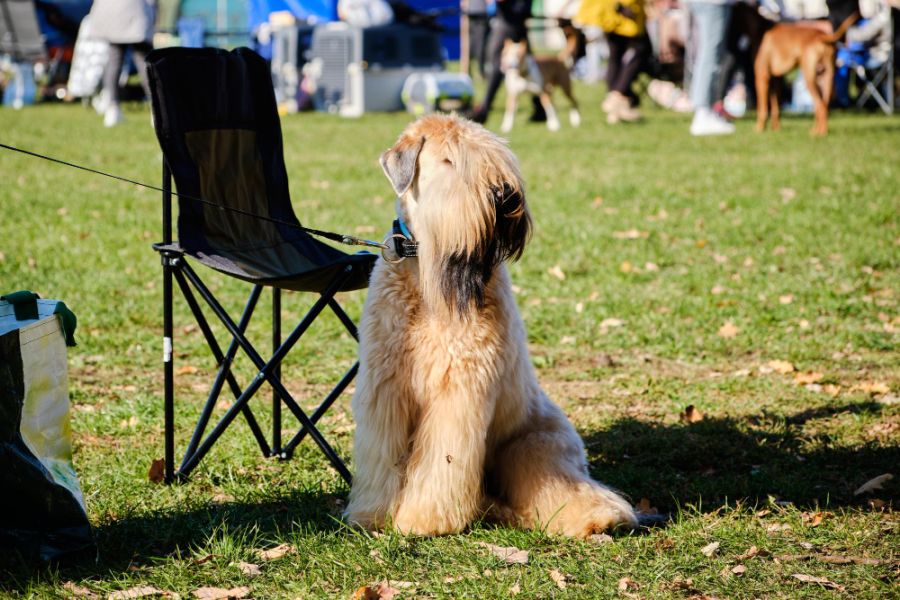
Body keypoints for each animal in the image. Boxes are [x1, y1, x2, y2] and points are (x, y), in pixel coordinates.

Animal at [342, 115, 636, 536]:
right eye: (449, 159)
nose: (505, 195)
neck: (427, 277)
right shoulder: (386, 387)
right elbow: (382, 458)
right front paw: (373, 516)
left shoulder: (458, 393)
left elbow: (441, 465)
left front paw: (422, 521)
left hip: (533, 447)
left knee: (567, 491)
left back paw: (599, 517)